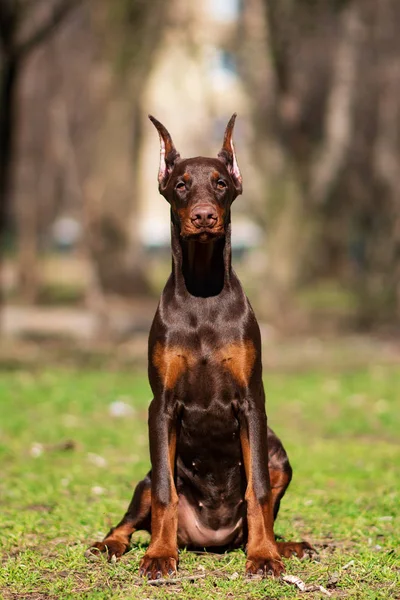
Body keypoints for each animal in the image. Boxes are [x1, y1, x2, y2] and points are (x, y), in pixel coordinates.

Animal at [89, 115, 314, 580]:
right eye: (180, 184)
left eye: (221, 183)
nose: (204, 216)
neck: (203, 292)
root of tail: (209, 540)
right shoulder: (161, 406)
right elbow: (164, 492)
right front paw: (159, 555)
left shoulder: (252, 402)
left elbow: (257, 489)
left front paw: (264, 556)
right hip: (144, 477)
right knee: (132, 514)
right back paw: (112, 545)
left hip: (279, 454)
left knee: (260, 508)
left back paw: (284, 546)